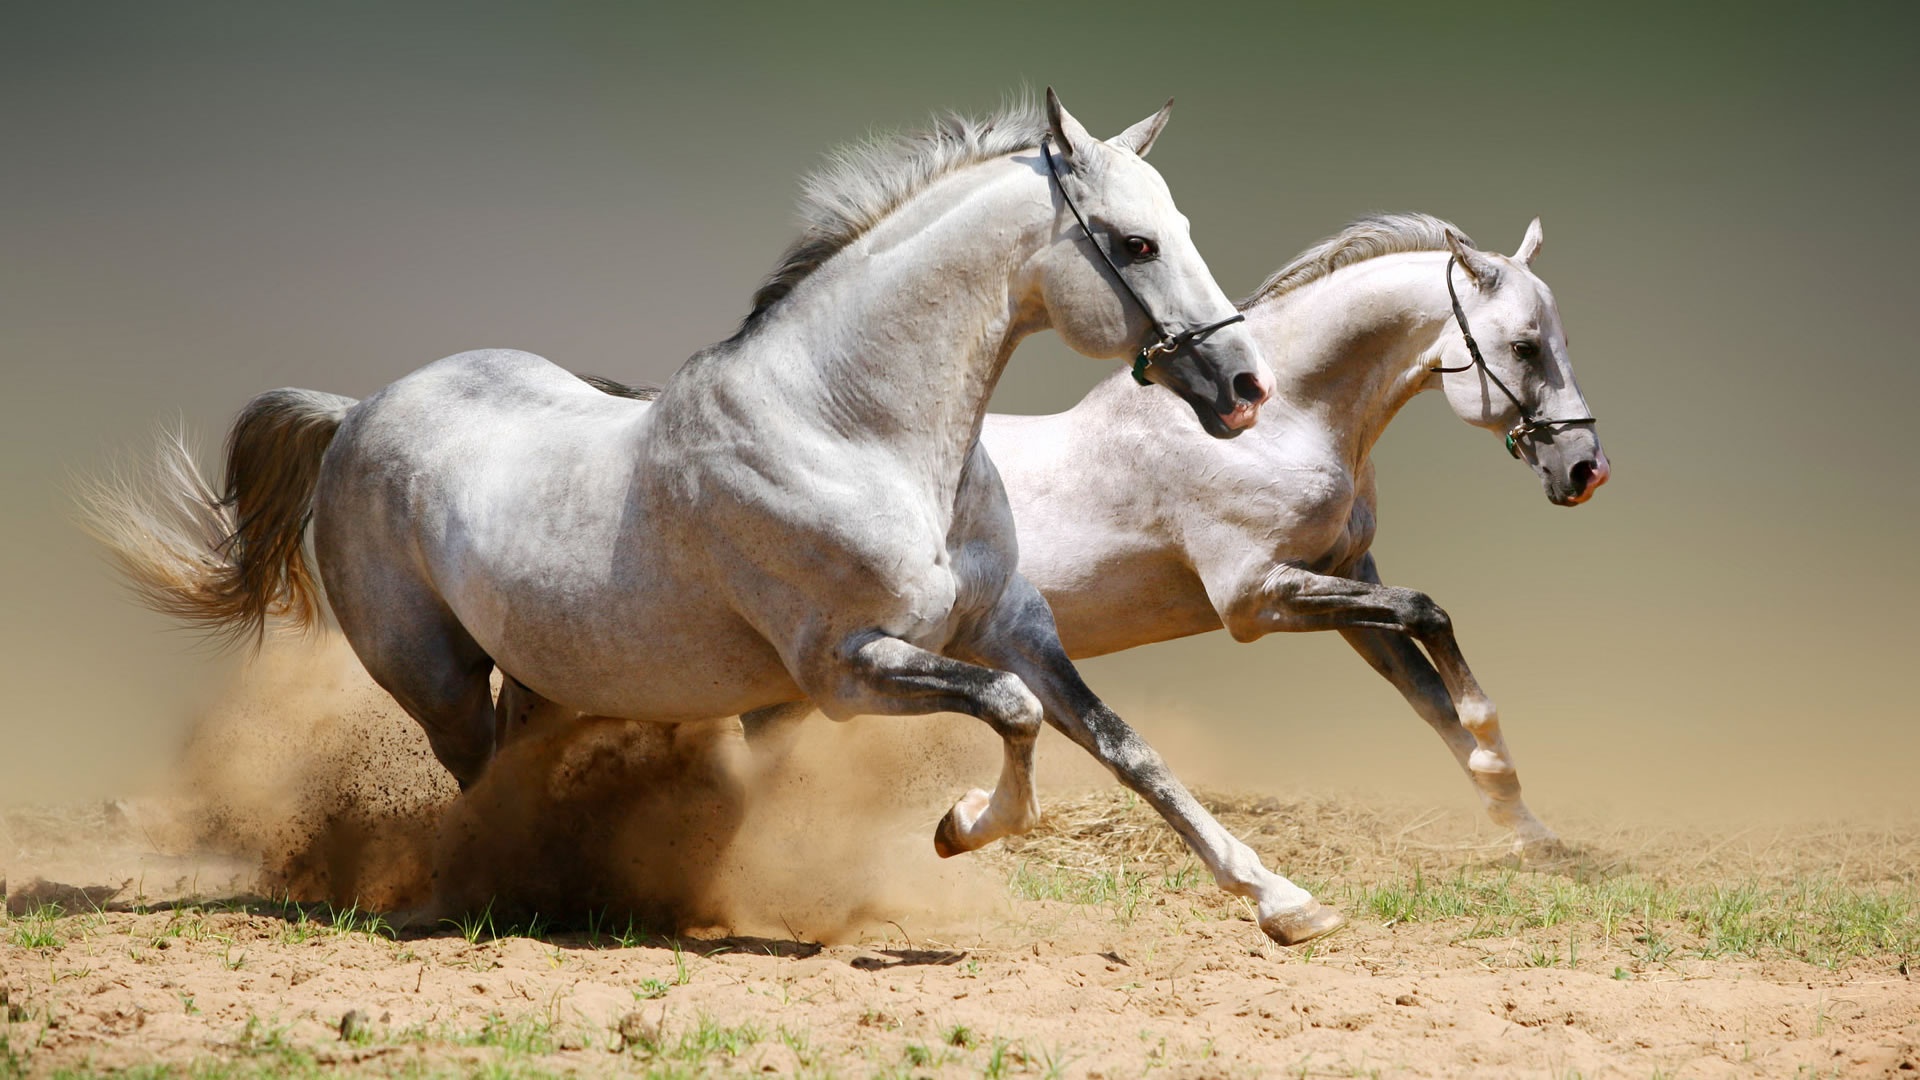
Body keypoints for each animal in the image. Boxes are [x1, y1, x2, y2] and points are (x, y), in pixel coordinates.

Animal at [86, 96, 1351, 945]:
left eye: (1176, 224)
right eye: (1134, 242)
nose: (1244, 388)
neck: (855, 430)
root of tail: (355, 413)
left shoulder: (1011, 626)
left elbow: (1123, 745)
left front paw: (1285, 903)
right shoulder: (845, 669)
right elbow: (1014, 716)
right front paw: (958, 826)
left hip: (544, 673)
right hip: (434, 677)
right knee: (477, 781)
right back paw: (492, 892)